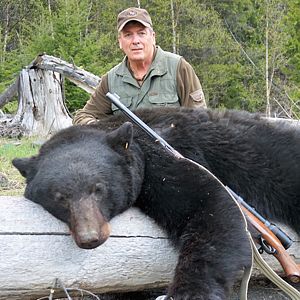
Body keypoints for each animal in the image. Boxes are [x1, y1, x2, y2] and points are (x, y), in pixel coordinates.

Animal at [12, 108, 300, 300]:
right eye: (59, 197)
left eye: (98, 189)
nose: (89, 237)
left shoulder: (161, 160)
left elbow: (212, 205)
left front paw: (188, 292)